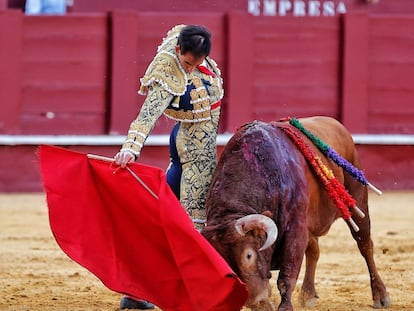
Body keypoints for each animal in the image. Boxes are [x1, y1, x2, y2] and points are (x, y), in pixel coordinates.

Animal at [202, 117, 390, 311]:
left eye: (249, 255)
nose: (252, 299)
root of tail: (338, 125)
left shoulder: (295, 228)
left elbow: (286, 276)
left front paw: (284, 307)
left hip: (357, 199)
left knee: (365, 244)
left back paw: (380, 295)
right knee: (314, 250)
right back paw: (308, 295)